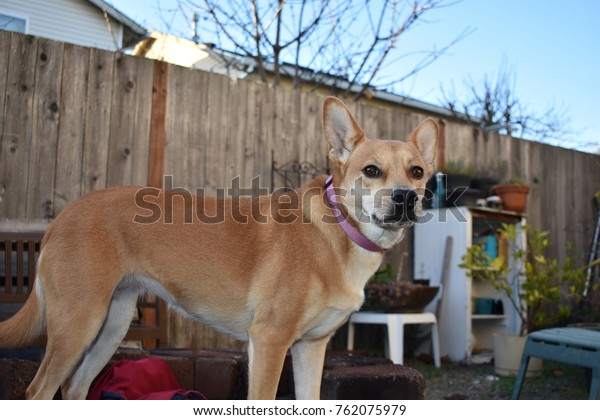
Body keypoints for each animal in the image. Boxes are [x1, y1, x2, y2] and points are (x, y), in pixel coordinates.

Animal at [0, 97, 436, 398]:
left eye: (417, 171)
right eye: (371, 170)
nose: (406, 198)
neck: (340, 232)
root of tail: (63, 217)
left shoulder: (310, 349)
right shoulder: (269, 341)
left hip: (110, 326)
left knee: (74, 388)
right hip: (78, 324)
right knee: (38, 392)